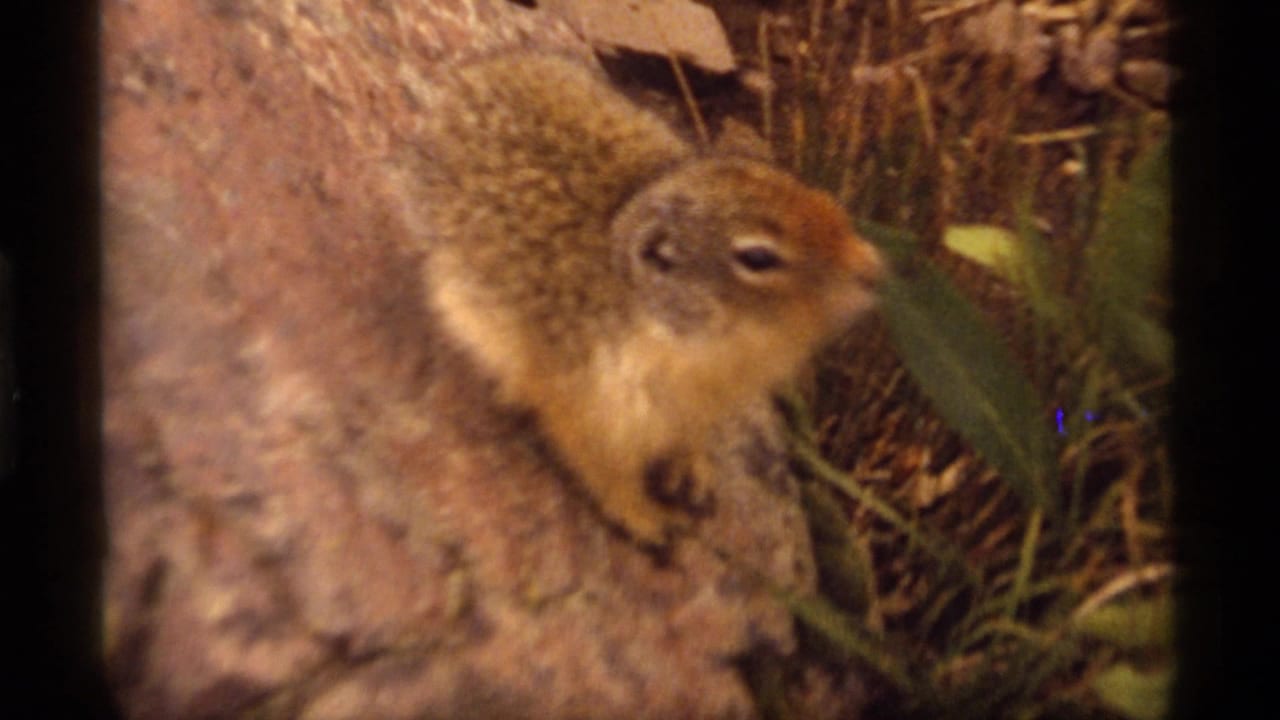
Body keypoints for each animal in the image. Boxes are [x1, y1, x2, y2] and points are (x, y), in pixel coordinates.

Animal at [398, 52, 884, 547]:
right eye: (758, 256)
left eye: (814, 193)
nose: (872, 269)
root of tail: (471, 72)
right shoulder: (588, 406)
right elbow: (604, 472)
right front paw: (650, 522)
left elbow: (687, 439)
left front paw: (692, 473)